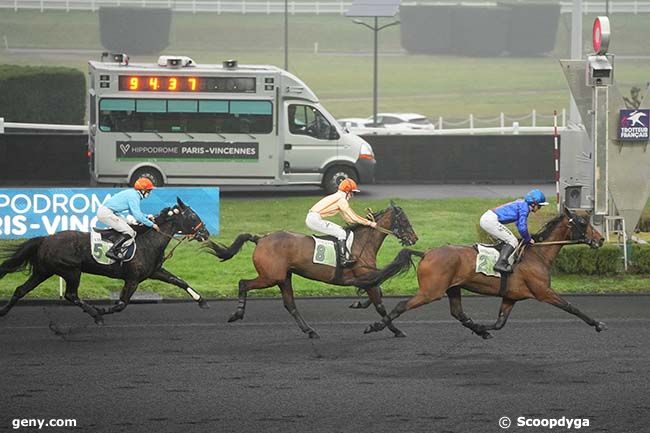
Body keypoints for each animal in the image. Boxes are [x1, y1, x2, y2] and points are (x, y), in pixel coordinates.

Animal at [0, 197, 208, 322]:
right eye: (192, 216)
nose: (205, 233)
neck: (148, 241)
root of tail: (45, 239)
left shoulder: (154, 272)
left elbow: (179, 281)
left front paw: (201, 301)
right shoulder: (132, 279)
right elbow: (121, 304)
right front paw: (101, 311)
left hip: (44, 270)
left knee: (20, 290)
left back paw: (3, 311)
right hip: (71, 271)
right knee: (71, 295)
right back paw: (95, 314)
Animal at [202, 202, 418, 338]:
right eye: (404, 221)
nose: (414, 238)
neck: (360, 244)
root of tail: (261, 238)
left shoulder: (365, 279)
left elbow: (378, 291)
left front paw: (359, 303)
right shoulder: (364, 277)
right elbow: (380, 304)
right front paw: (394, 330)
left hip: (283, 278)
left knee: (290, 304)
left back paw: (310, 331)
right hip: (270, 277)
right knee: (243, 284)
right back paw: (237, 314)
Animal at [354, 208, 604, 340]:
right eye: (583, 222)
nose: (601, 239)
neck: (537, 254)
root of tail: (426, 253)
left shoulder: (511, 296)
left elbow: (499, 322)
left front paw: (483, 329)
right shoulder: (543, 291)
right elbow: (571, 307)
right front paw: (597, 323)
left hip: (453, 288)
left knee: (458, 313)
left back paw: (477, 329)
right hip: (431, 291)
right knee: (401, 305)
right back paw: (376, 326)